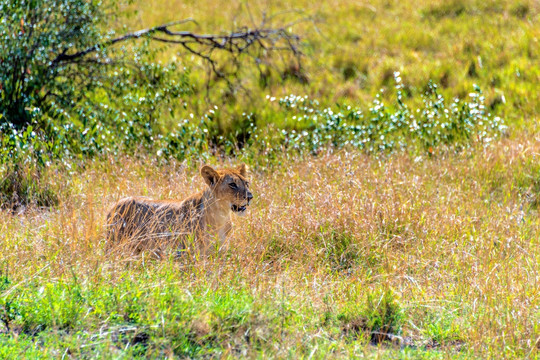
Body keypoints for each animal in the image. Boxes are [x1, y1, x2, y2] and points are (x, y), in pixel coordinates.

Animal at [105, 165, 253, 258]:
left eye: (246, 183)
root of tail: (115, 204)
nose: (250, 197)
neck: (220, 215)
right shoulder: (186, 251)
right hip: (115, 244)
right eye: (232, 185)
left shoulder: (218, 250)